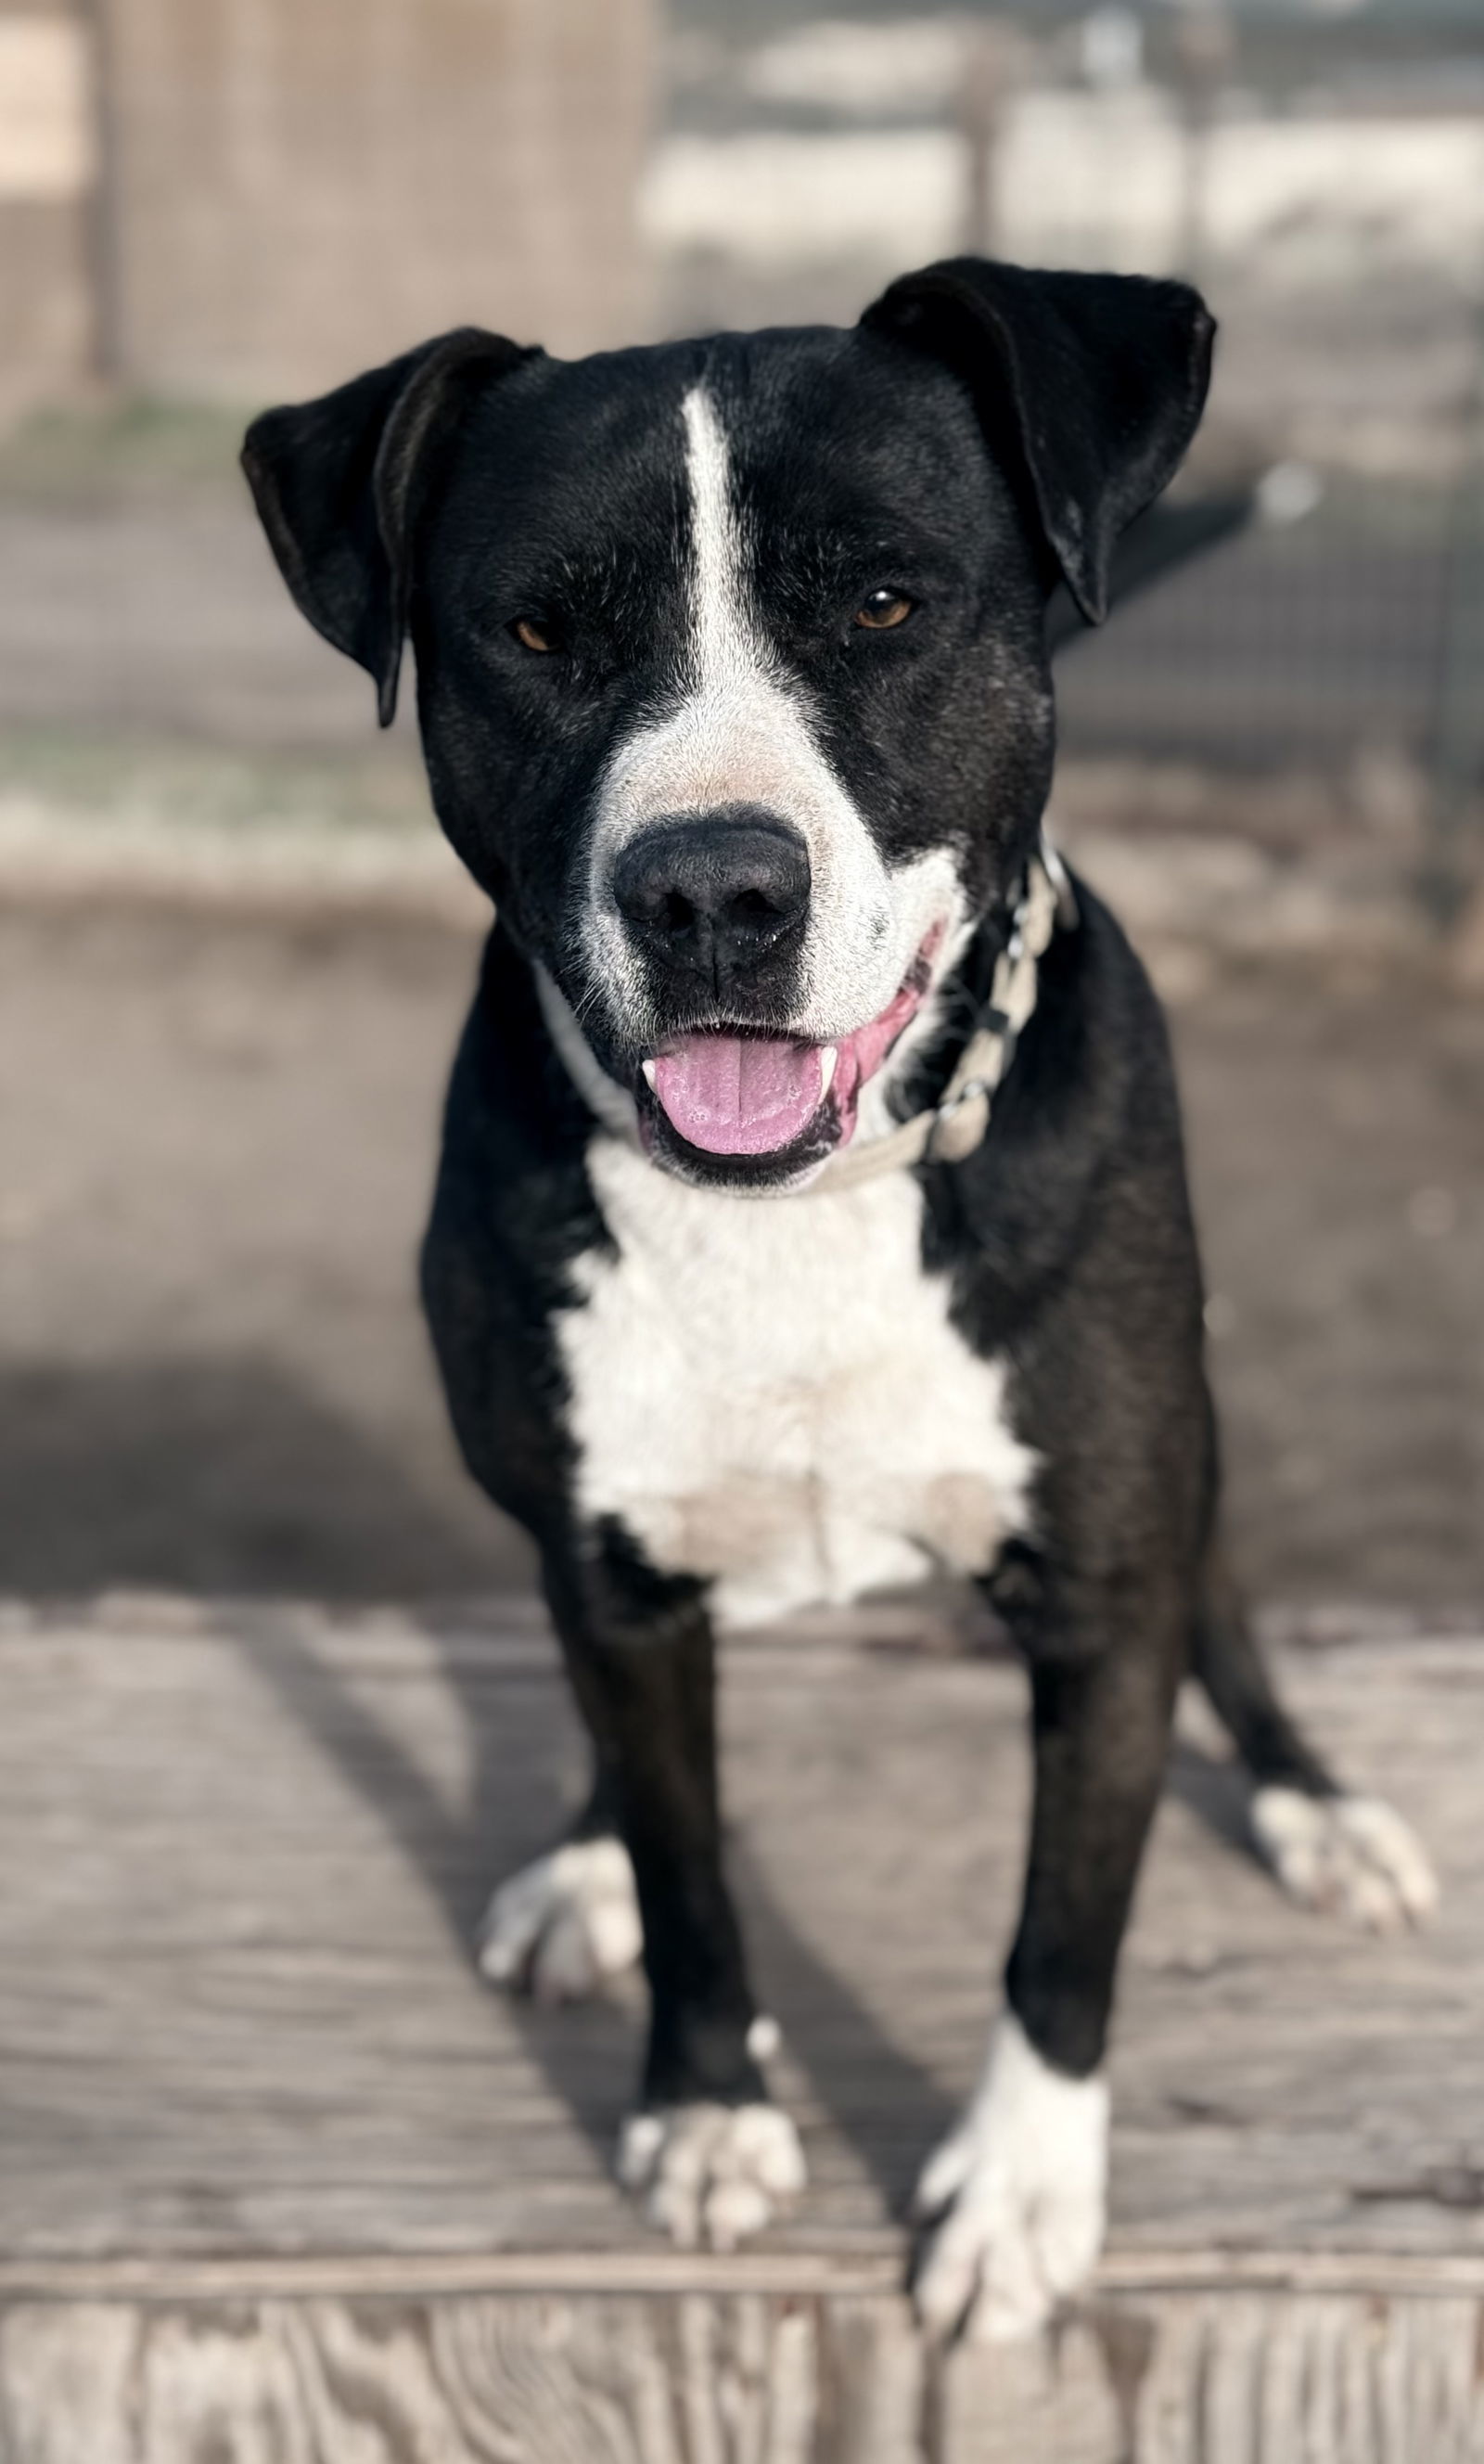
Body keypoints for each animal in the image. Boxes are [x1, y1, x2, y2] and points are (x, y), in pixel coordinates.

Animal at [245, 260, 1429, 2335]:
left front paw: (1018, 2191)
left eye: (880, 600)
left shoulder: (1104, 1583)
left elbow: (1063, 1930)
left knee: (1225, 1612)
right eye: (536, 628)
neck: (793, 1211)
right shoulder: (613, 1575)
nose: (710, 891)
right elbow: (691, 1865)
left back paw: (1315, 1804)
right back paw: (581, 1863)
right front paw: (707, 2106)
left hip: (1183, 1466)